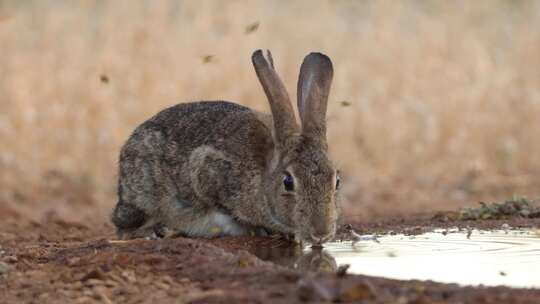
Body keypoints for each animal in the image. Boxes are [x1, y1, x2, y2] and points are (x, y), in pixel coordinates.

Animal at [112, 49, 342, 245]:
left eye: (337, 181)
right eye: (288, 182)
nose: (321, 233)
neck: (264, 173)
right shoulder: (206, 171)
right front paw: (256, 230)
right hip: (142, 199)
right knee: (124, 227)